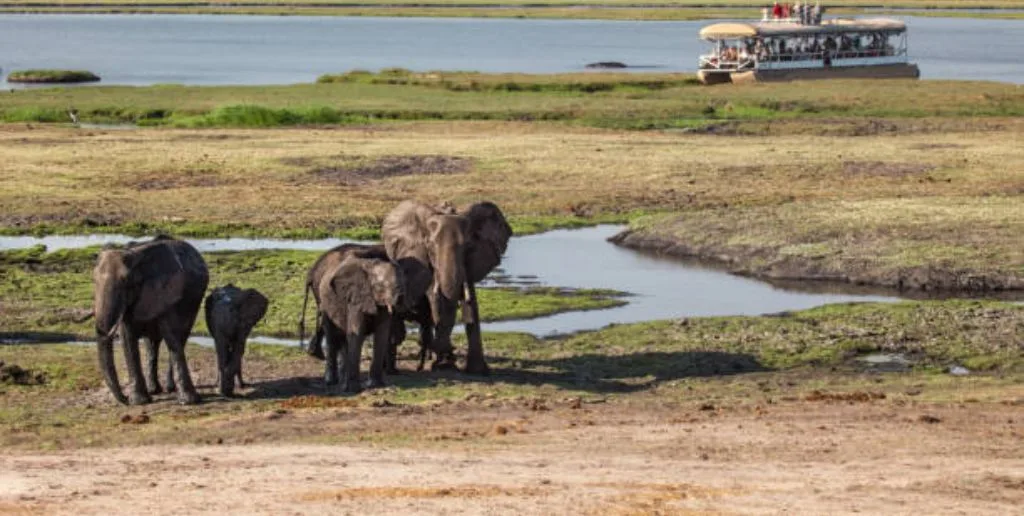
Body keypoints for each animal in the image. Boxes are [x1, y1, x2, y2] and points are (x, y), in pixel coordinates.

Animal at [92, 235, 209, 405]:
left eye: (127, 282)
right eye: (94, 281)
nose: (124, 398)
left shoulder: (166, 292)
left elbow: (171, 336)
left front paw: (188, 401)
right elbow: (127, 339)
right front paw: (139, 401)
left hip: (194, 302)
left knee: (180, 337)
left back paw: (169, 388)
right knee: (152, 344)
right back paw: (154, 390)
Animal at [317, 248, 405, 391]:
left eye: (405, 283)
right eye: (380, 286)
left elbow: (381, 335)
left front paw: (375, 385)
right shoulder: (355, 297)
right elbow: (356, 334)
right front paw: (353, 389)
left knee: (344, 339)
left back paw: (343, 381)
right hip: (324, 302)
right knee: (331, 336)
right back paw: (331, 382)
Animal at [380, 199, 512, 372]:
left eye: (468, 247)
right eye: (430, 247)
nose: (451, 350)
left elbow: (471, 303)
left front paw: (478, 371)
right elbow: (436, 300)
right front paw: (444, 364)